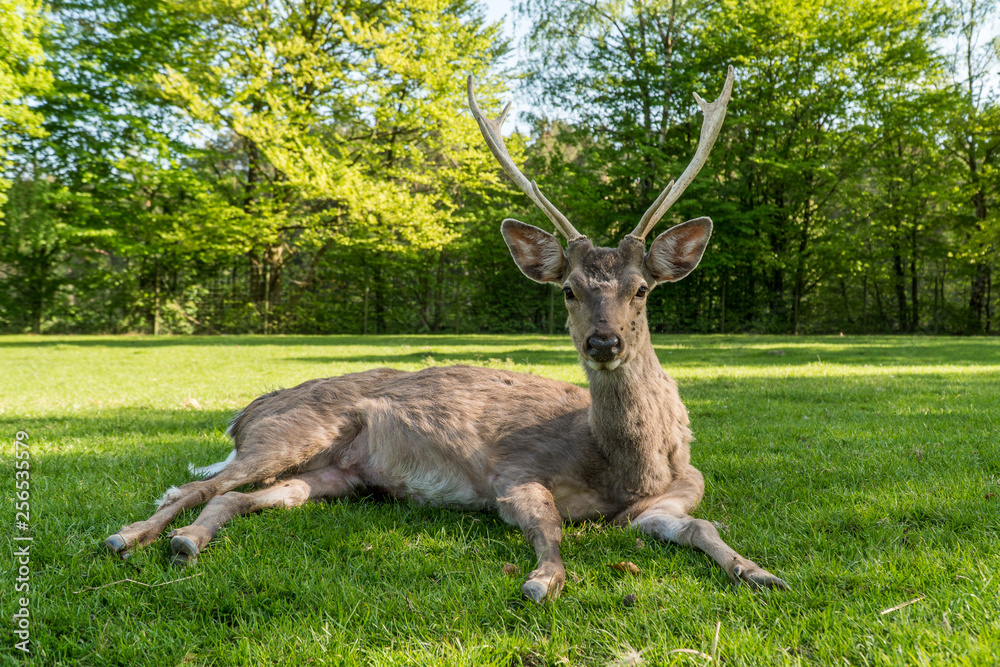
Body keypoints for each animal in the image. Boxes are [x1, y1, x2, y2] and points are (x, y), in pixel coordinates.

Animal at [102, 66, 788, 601]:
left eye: (642, 290)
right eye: (568, 289)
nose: (604, 343)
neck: (626, 470)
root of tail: (241, 416)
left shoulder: (678, 492)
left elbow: (702, 528)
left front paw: (760, 572)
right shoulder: (515, 471)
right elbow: (549, 527)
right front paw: (542, 579)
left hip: (336, 475)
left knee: (237, 497)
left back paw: (187, 543)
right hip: (292, 431)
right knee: (199, 484)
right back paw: (128, 537)